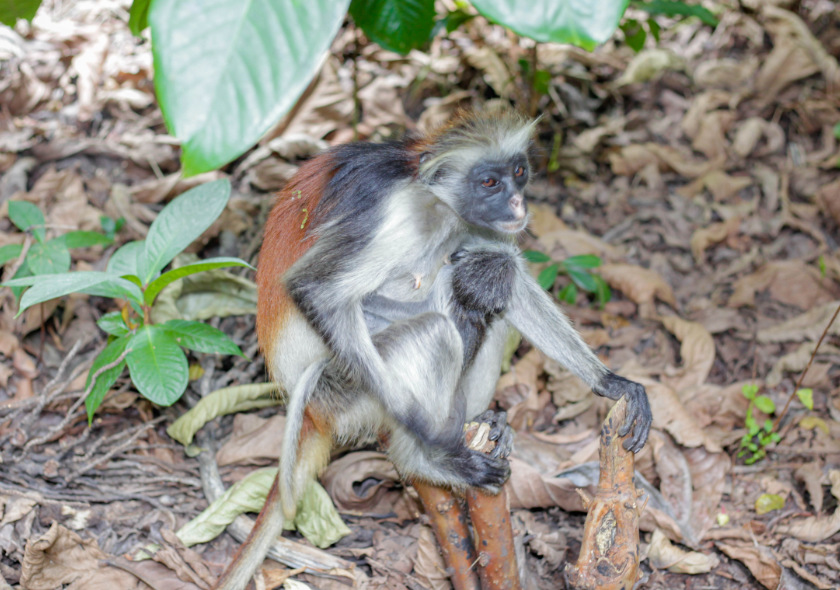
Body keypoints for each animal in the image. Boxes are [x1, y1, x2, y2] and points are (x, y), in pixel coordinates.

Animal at [213, 109, 652, 590]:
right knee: (439, 326)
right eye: (489, 183)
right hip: (345, 386)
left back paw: (482, 419)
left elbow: (509, 280)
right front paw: (429, 438)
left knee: (490, 306)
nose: (518, 205)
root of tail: (310, 408)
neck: (429, 189)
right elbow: (316, 290)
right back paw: (426, 458)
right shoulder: (401, 213)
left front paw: (611, 382)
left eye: (518, 173)